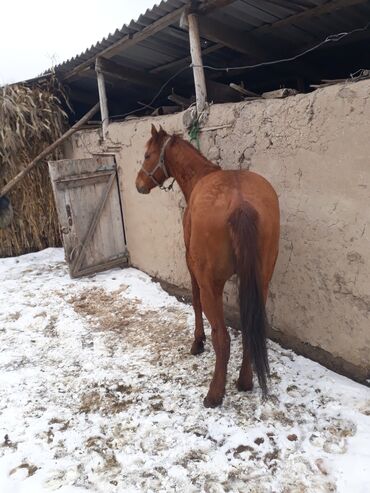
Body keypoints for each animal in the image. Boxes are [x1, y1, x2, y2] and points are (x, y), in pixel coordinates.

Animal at [137, 124, 280, 408]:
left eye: (148, 155)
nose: (139, 184)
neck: (201, 176)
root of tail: (241, 204)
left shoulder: (192, 266)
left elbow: (194, 302)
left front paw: (197, 342)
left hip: (211, 284)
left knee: (222, 338)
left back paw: (215, 393)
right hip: (261, 281)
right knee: (249, 330)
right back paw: (245, 381)